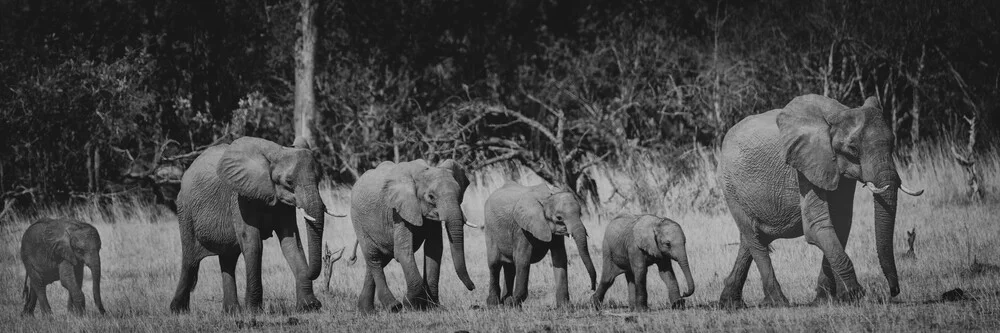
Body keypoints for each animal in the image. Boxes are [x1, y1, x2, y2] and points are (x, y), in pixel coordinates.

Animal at [170, 135, 326, 312]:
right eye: (289, 182)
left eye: (319, 178)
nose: (309, 273)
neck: (276, 152)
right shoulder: (240, 197)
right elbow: (253, 243)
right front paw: (253, 311)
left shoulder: (281, 204)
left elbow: (291, 242)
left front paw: (310, 306)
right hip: (185, 211)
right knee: (190, 262)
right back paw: (178, 311)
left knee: (228, 260)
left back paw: (231, 312)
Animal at [352, 158, 476, 312]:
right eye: (431, 197)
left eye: (460, 195)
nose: (473, 287)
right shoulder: (398, 212)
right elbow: (403, 252)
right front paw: (411, 304)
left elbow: (434, 250)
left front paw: (434, 307)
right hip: (359, 221)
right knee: (373, 257)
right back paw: (393, 306)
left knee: (380, 259)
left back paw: (366, 311)